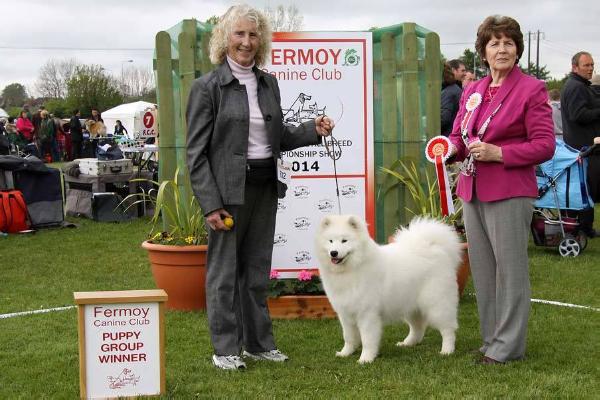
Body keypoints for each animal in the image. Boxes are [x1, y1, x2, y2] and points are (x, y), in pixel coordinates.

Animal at [314, 216, 464, 362]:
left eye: (344, 241)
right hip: (410, 306)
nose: (334, 253)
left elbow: (367, 339)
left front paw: (365, 359)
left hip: (437, 305)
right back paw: (407, 343)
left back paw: (447, 350)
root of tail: (434, 247)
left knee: (448, 329)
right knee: (418, 328)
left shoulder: (367, 314)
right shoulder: (345, 314)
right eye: (331, 241)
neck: (351, 269)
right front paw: (345, 353)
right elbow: (349, 337)